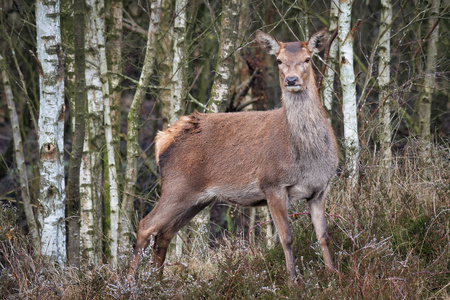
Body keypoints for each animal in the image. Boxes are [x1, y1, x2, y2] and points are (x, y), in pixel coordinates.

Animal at [127, 28, 338, 282]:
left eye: (308, 59)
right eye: (279, 60)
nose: (291, 80)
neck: (307, 159)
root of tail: (161, 139)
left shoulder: (320, 189)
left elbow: (324, 236)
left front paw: (333, 274)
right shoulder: (272, 184)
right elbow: (286, 238)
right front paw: (293, 281)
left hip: (197, 199)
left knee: (164, 233)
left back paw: (157, 282)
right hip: (177, 187)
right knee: (145, 226)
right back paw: (130, 283)